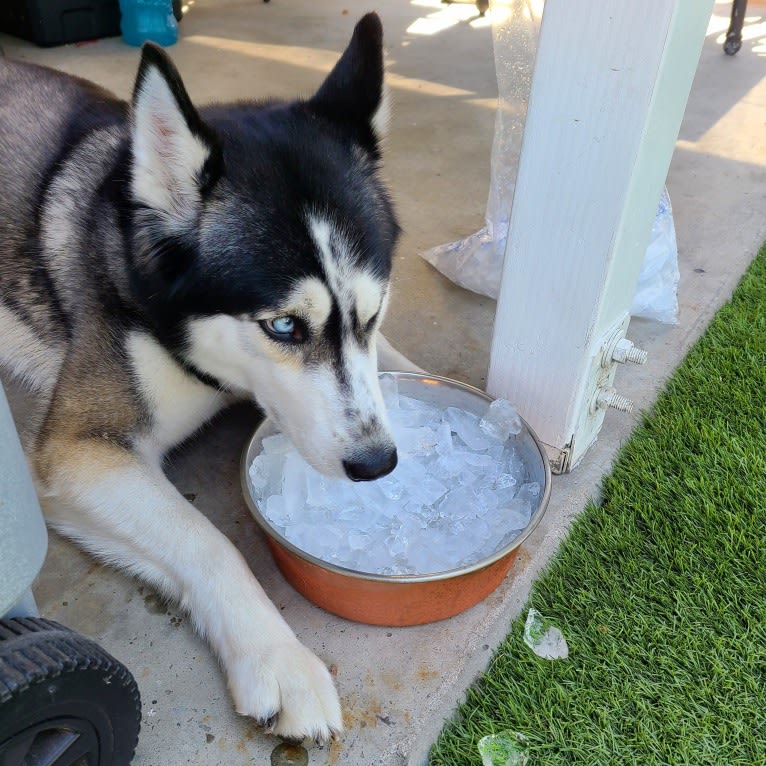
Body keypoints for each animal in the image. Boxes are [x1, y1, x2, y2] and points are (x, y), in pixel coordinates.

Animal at [0, 12, 408, 744]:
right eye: (284, 326)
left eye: (374, 309)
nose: (377, 463)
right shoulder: (78, 452)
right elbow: (209, 542)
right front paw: (279, 658)